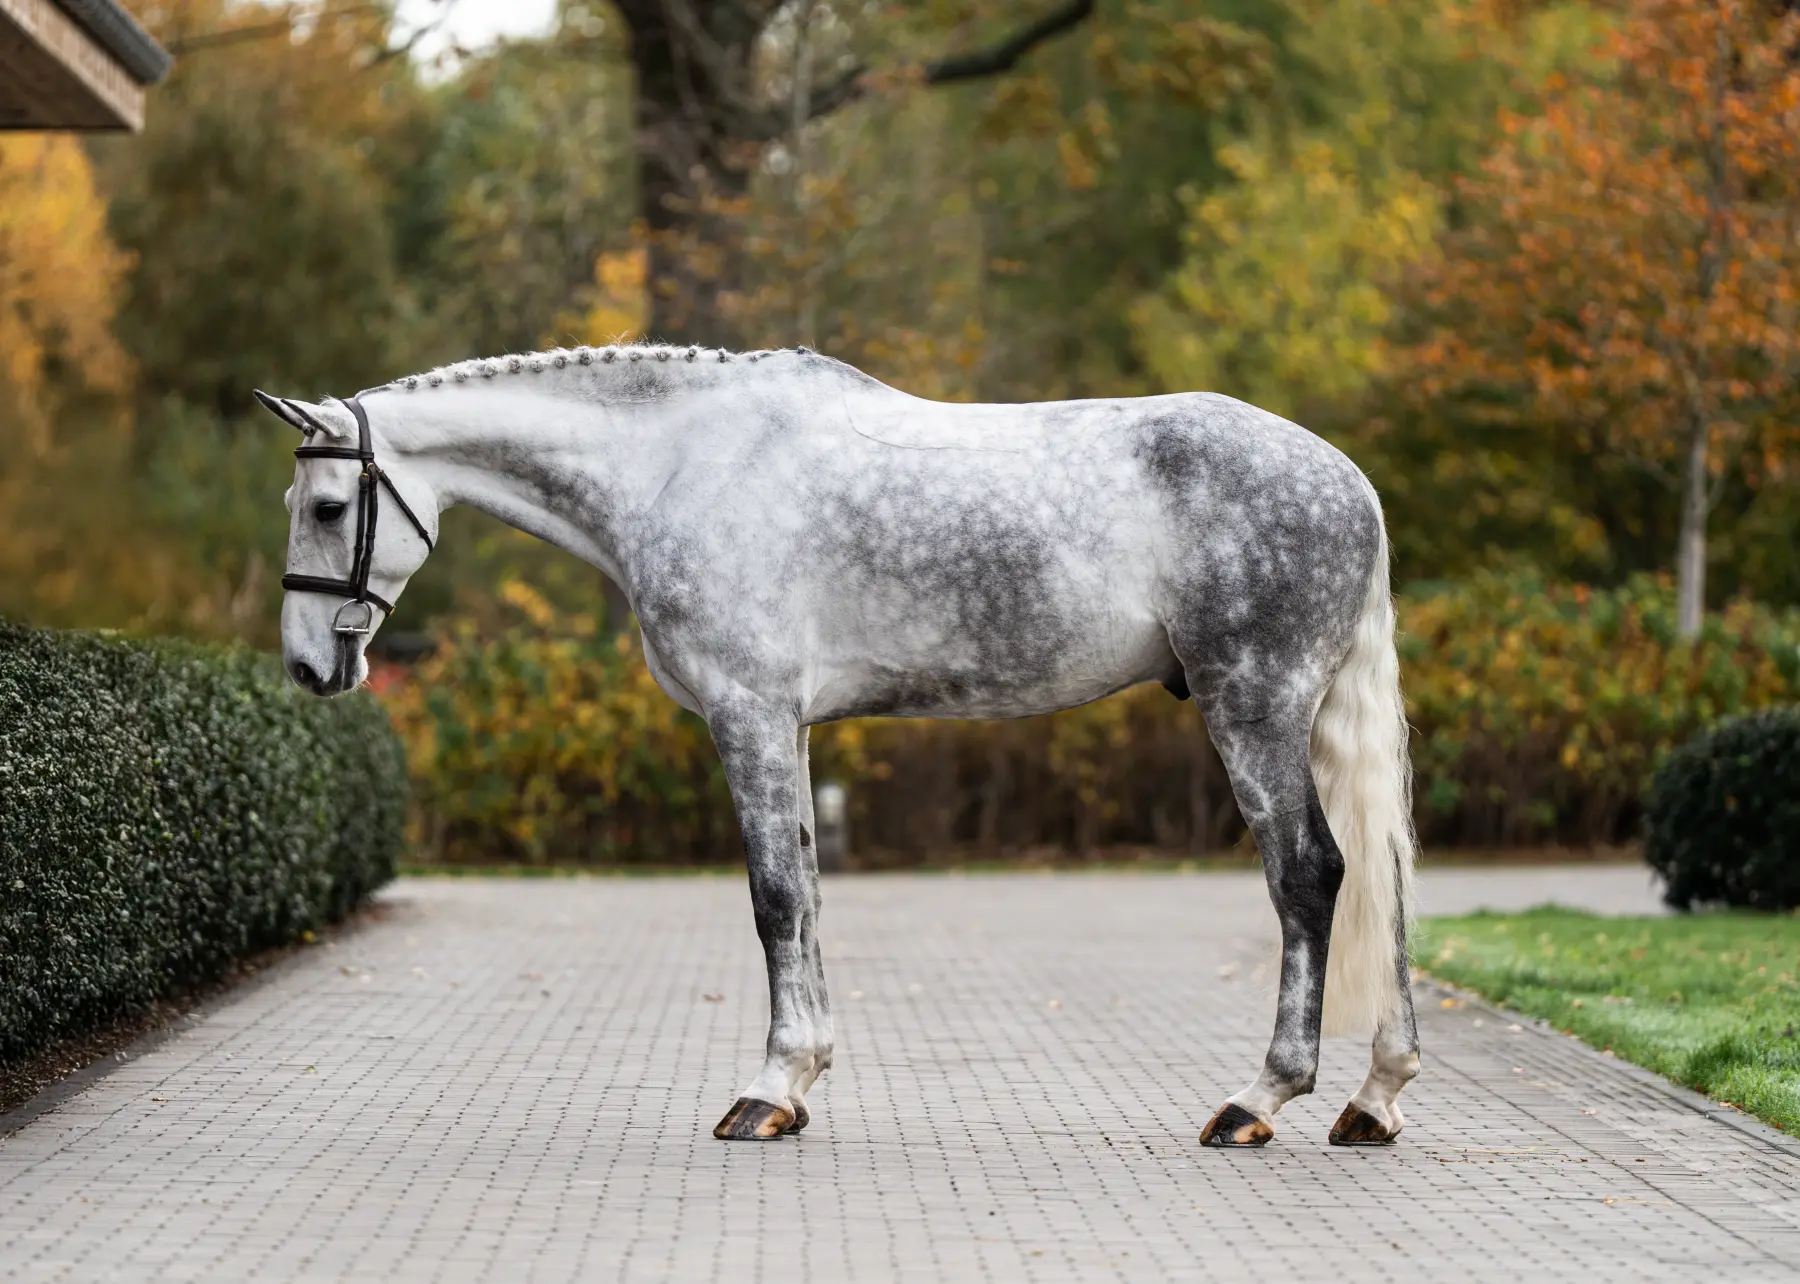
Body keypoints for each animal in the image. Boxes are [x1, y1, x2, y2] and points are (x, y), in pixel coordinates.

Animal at [259, 342, 1419, 1148]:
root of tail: (1351, 482)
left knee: (1309, 876)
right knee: (1383, 880)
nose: (310, 665)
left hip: (1251, 704)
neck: (676, 465)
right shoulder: (788, 729)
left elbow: (774, 899)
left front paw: (764, 1093)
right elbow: (808, 895)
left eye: (330, 505)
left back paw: (1259, 1100)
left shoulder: (749, 714)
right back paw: (1373, 1102)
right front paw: (800, 1082)